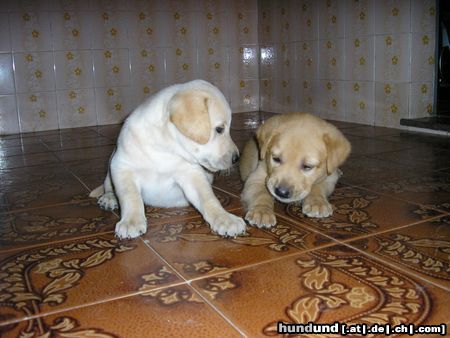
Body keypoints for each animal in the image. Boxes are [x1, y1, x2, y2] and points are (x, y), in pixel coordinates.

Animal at [90, 79, 246, 238]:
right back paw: (109, 198)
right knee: (108, 186)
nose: (236, 158)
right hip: (110, 167)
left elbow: (208, 198)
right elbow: (130, 196)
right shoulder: (122, 167)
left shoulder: (191, 174)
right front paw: (131, 221)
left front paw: (225, 219)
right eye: (220, 129)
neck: (165, 149)